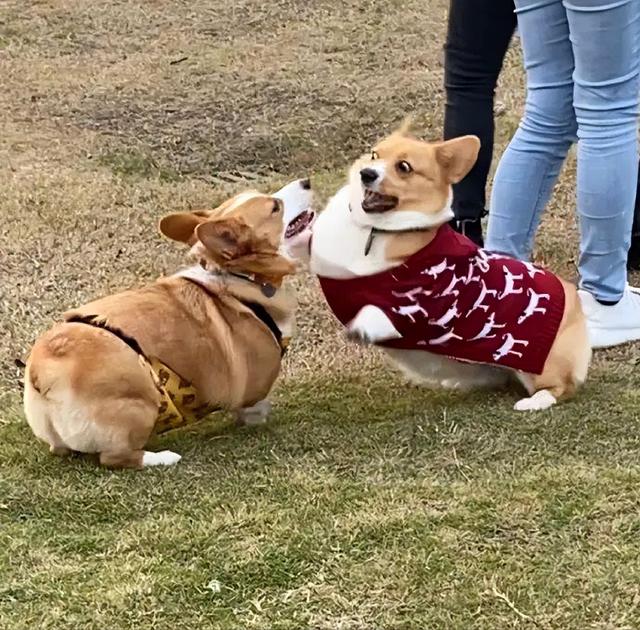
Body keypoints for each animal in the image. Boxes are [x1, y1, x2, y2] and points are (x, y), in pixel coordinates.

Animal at [23, 178, 316, 470]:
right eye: (275, 207)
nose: (306, 182)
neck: (240, 277)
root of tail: (41, 372)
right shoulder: (253, 386)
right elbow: (255, 407)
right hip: (141, 399)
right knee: (116, 458)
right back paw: (164, 457)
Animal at [292, 130, 592, 412]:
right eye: (375, 155)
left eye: (404, 167)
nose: (366, 174)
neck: (374, 230)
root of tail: (576, 305)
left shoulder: (422, 309)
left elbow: (378, 311)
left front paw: (360, 327)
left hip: (539, 366)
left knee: (560, 388)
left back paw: (533, 402)